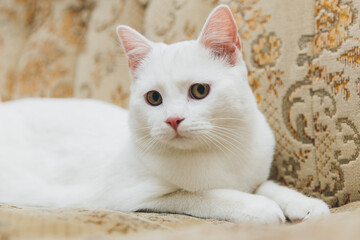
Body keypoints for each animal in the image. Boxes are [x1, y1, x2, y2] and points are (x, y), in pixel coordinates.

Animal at [0, 4, 330, 224]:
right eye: (154, 98)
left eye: (199, 91)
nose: (173, 120)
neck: (219, 152)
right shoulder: (132, 198)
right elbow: (204, 195)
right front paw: (258, 207)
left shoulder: (255, 172)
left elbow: (268, 185)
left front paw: (305, 203)